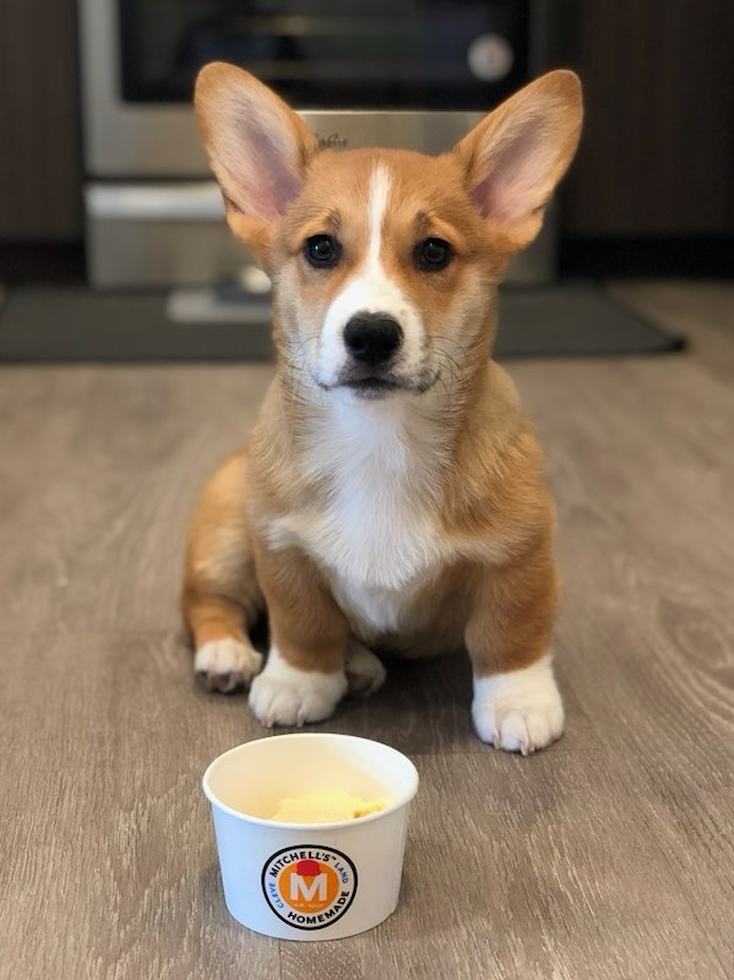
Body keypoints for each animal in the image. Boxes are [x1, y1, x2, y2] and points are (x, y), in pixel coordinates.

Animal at [184, 65, 588, 756]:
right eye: (320, 249)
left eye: (433, 252)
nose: (371, 335)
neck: (380, 437)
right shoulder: (280, 548)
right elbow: (302, 622)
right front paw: (299, 680)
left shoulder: (521, 554)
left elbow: (511, 633)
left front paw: (519, 702)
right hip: (227, 529)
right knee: (207, 603)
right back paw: (230, 654)